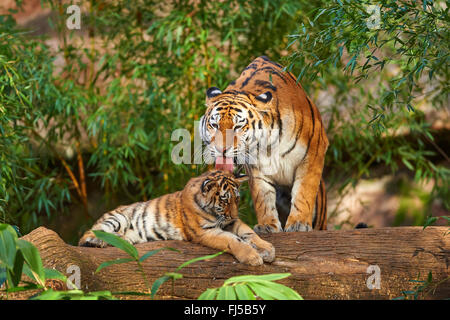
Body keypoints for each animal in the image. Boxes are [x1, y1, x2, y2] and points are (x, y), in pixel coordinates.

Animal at [199, 56, 328, 234]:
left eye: (238, 126)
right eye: (215, 125)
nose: (221, 149)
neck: (268, 145)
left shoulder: (314, 150)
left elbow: (304, 191)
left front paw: (298, 223)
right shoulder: (256, 168)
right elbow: (263, 197)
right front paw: (267, 225)